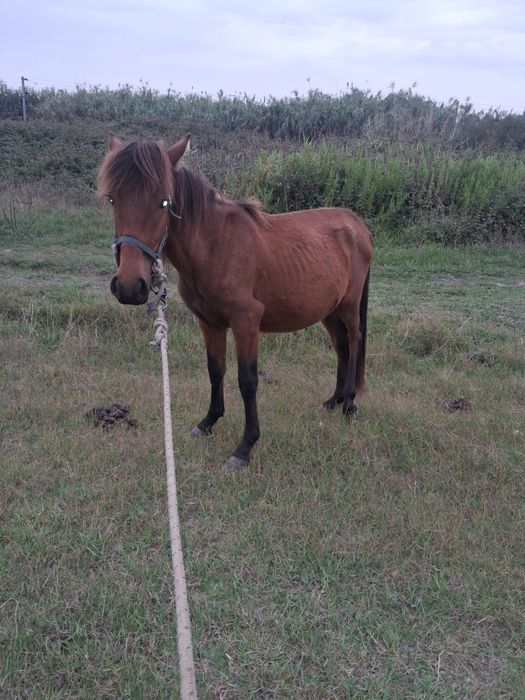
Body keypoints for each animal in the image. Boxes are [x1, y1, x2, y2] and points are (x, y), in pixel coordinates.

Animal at [98, 134, 373, 469]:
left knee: (355, 340)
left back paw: (349, 404)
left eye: (164, 201)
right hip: (328, 310)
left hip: (348, 305)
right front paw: (207, 423)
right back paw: (333, 401)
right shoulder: (209, 323)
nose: (128, 286)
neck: (215, 245)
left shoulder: (246, 322)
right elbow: (215, 371)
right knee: (342, 346)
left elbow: (247, 380)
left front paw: (245, 446)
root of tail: (357, 225)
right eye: (113, 199)